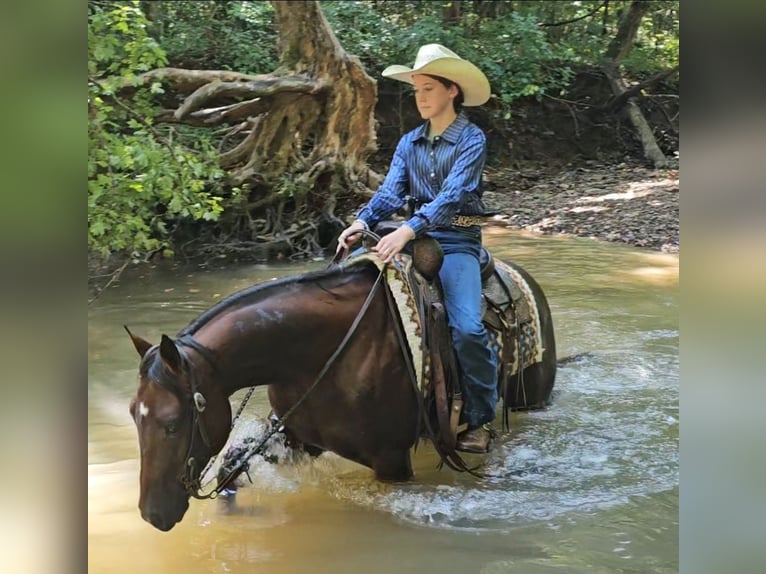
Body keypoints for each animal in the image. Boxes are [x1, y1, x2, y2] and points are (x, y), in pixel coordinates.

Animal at [126, 254, 556, 531]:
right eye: (134, 413)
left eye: (172, 424)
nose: (152, 515)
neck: (316, 352)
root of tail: (521, 276)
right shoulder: (298, 437)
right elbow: (231, 469)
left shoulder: (391, 460)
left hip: (531, 399)